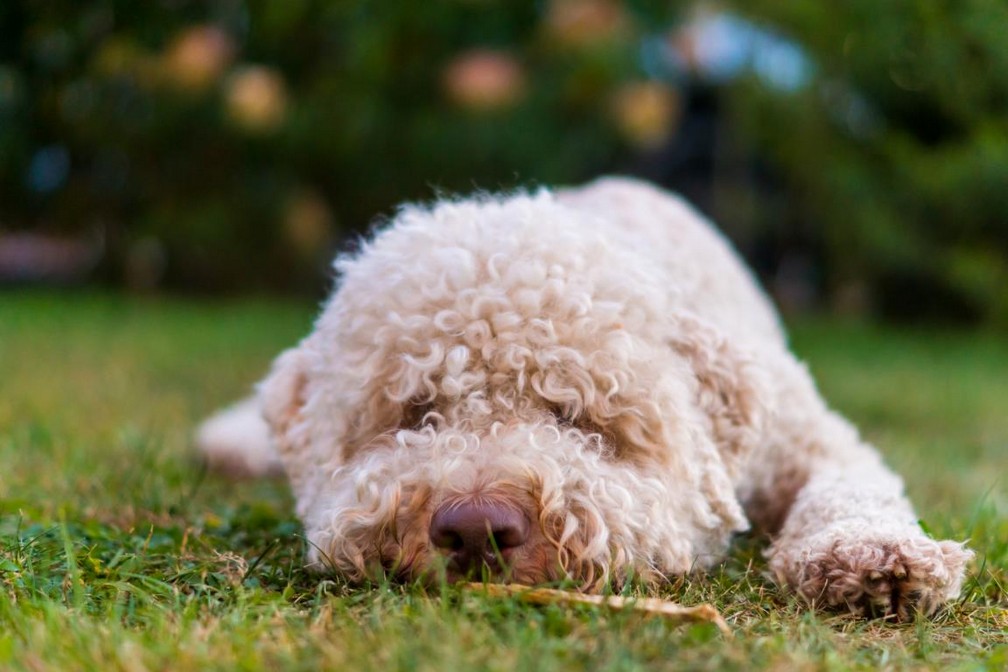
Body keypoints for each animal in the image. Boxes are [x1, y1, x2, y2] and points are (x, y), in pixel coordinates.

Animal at [197, 177, 971, 619]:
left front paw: (873, 552)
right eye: (416, 412)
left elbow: (851, 483)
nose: (475, 527)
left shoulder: (807, 433)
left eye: (574, 416)